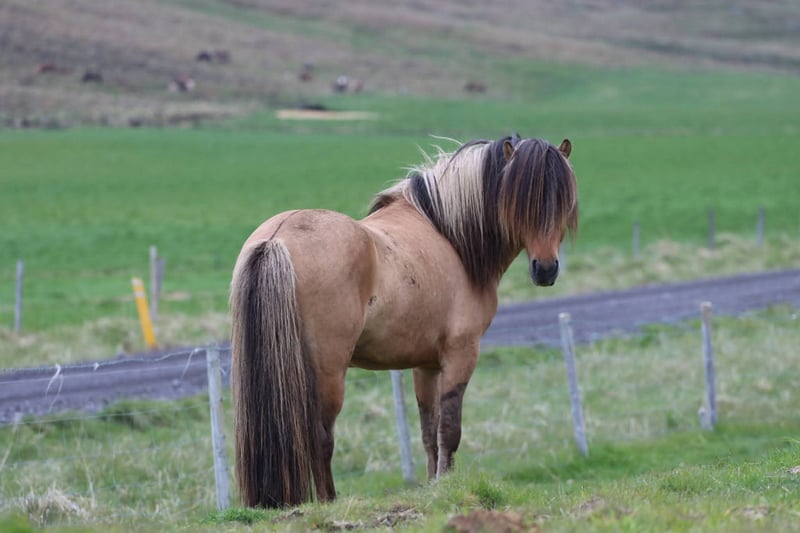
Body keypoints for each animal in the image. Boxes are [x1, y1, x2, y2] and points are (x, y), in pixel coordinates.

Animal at [230, 134, 579, 508]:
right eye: (520, 200)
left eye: (563, 199)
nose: (546, 269)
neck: (450, 237)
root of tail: (276, 239)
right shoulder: (460, 355)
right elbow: (449, 430)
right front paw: (447, 485)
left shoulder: (426, 365)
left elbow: (428, 431)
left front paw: (433, 485)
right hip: (328, 372)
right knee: (321, 437)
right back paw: (329, 501)